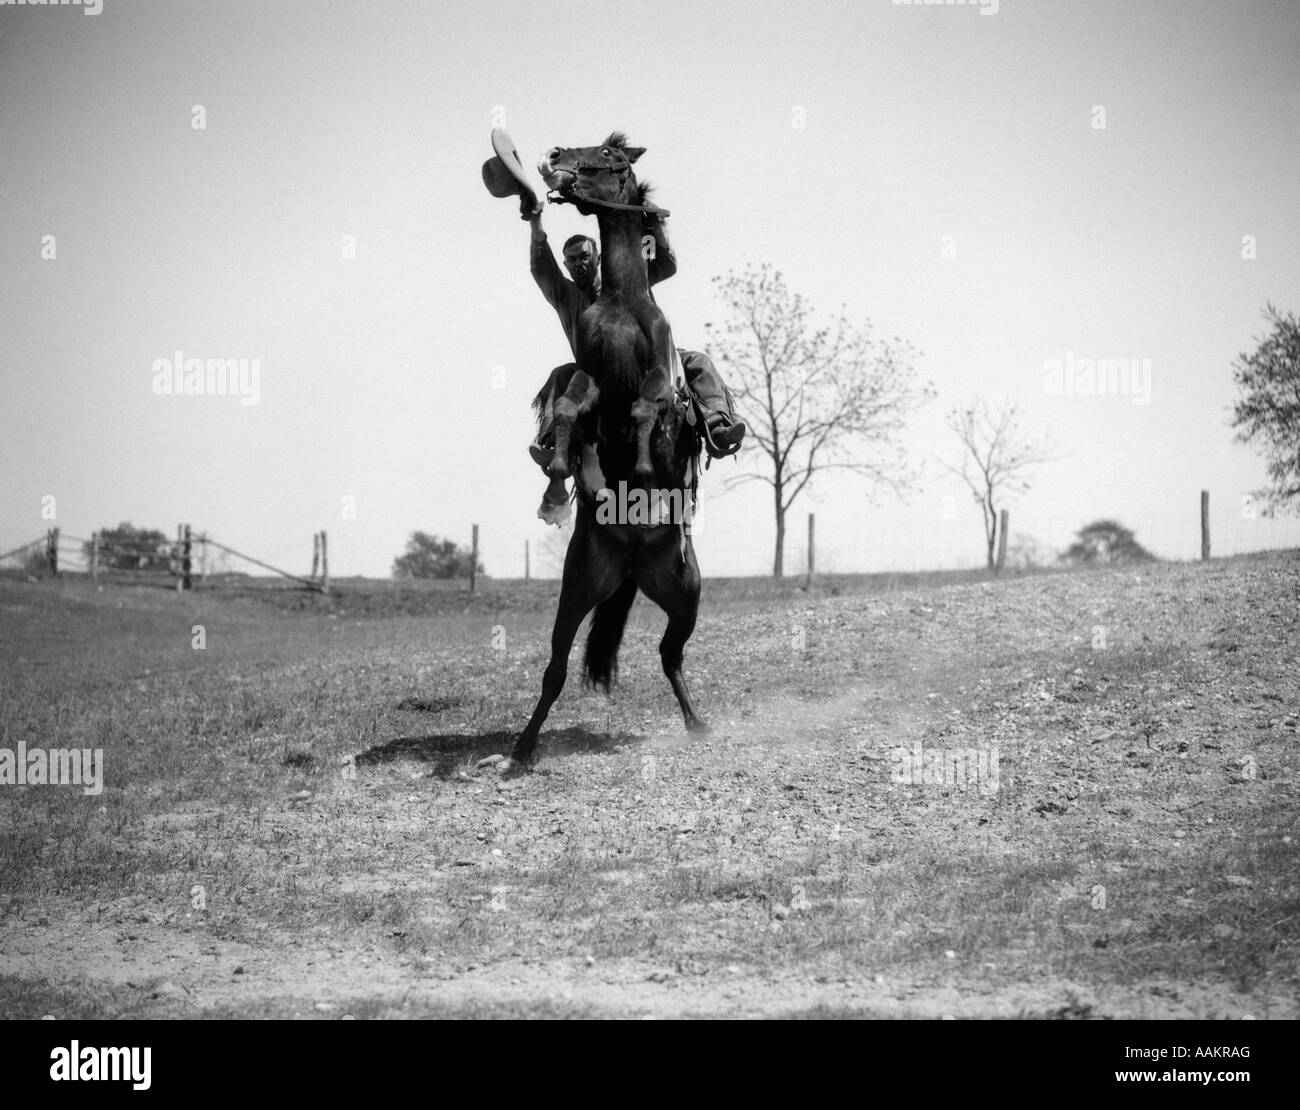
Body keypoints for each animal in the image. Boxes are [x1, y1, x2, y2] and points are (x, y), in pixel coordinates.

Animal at [506, 132, 712, 774]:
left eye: (610, 157)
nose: (554, 157)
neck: (621, 300)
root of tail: (630, 560)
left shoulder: (655, 380)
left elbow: (647, 408)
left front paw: (644, 471)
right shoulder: (592, 376)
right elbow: (572, 408)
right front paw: (554, 474)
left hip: (685, 593)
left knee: (671, 655)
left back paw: (699, 724)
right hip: (579, 587)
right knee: (555, 666)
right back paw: (521, 749)